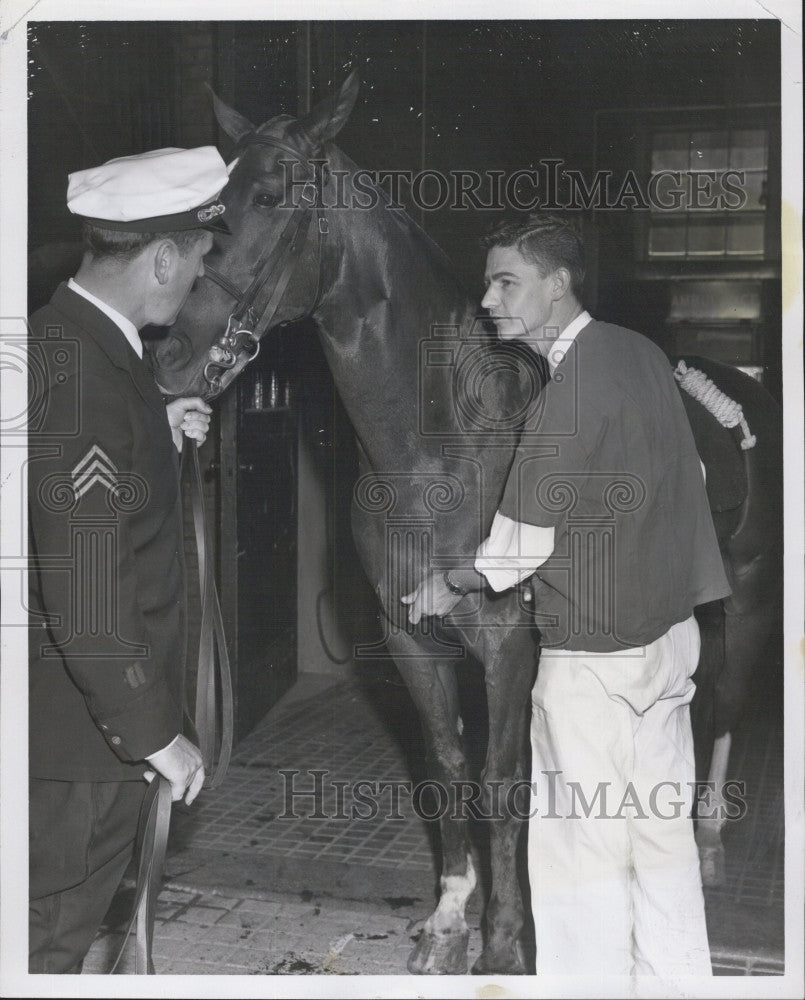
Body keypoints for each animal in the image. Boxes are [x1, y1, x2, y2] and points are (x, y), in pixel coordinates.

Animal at [149, 74, 780, 972]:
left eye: (268, 197)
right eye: (210, 207)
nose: (171, 359)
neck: (440, 450)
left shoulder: (508, 644)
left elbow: (500, 783)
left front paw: (506, 942)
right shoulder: (410, 636)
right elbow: (447, 768)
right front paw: (450, 919)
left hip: (753, 599)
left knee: (724, 704)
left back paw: (711, 839)